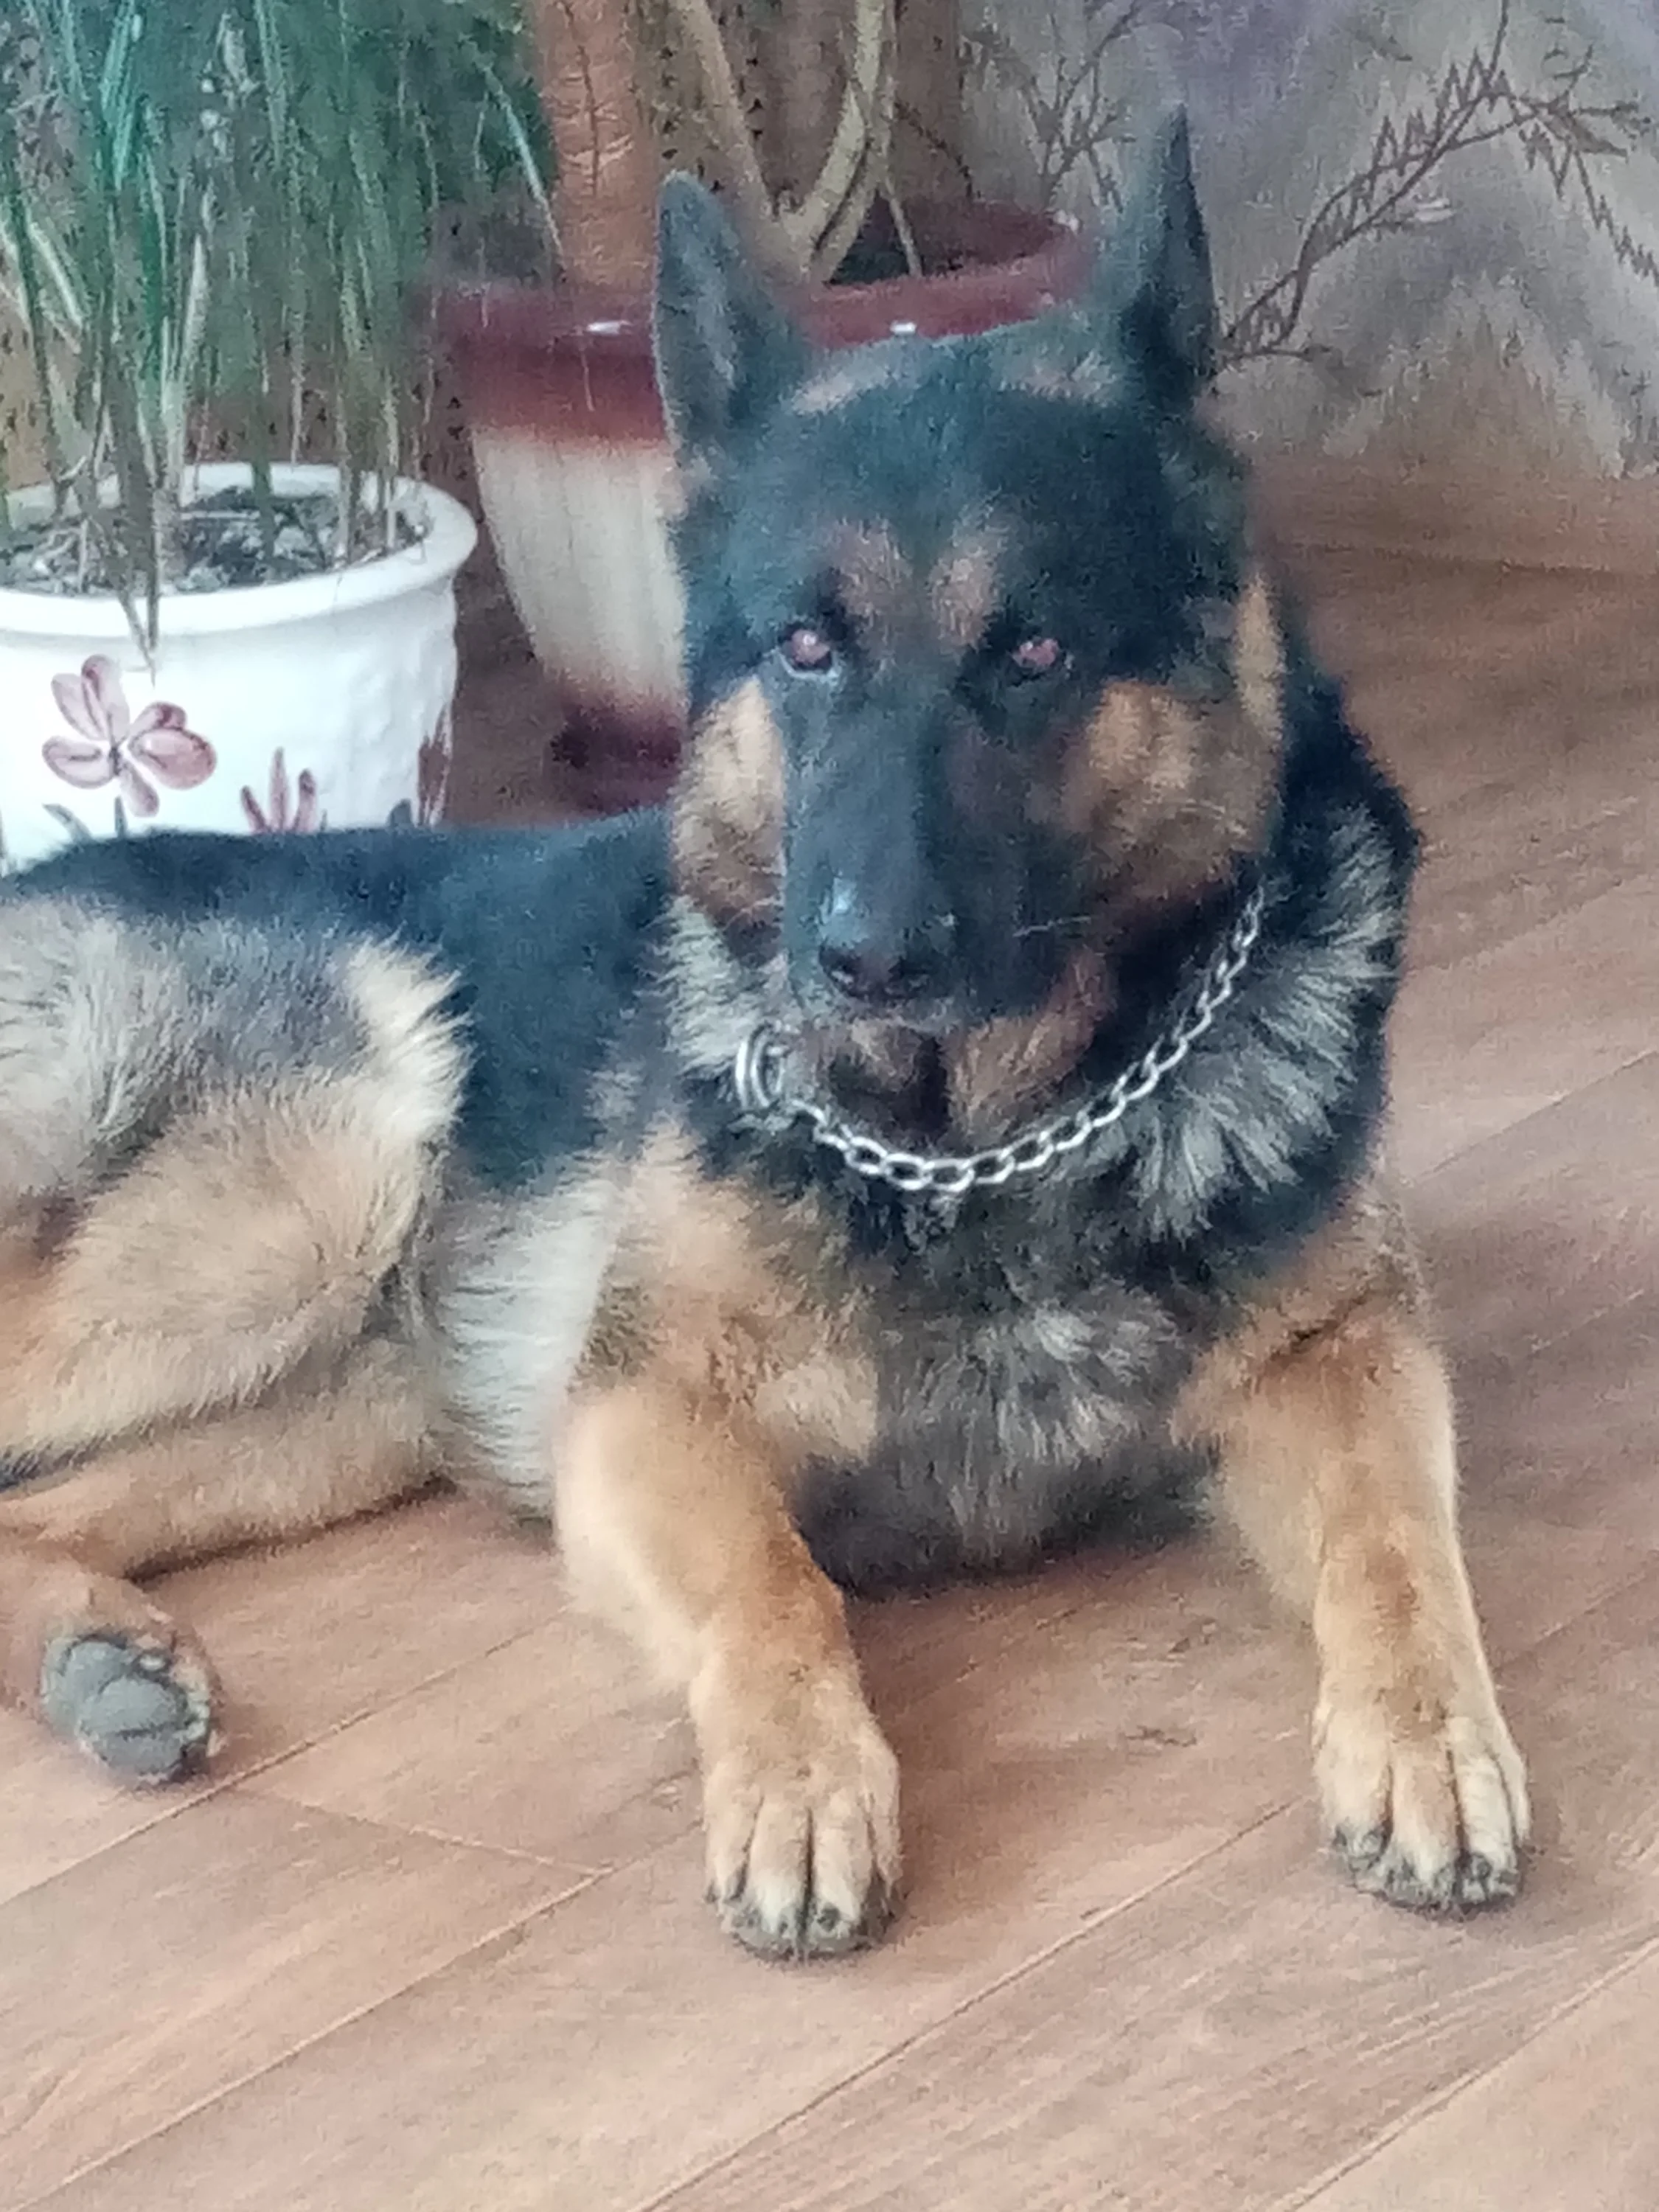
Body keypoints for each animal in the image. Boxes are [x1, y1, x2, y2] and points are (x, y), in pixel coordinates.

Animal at [0, 117, 1527, 1958]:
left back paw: (100, 1658)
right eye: (806, 648)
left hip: (332, 1398)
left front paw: (1428, 1739)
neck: (981, 1142)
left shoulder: (1345, 1364)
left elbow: (1395, 1550)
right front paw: (803, 1787)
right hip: (314, 1185)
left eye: (1034, 651)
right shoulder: (646, 1418)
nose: (858, 959)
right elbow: (778, 1597)